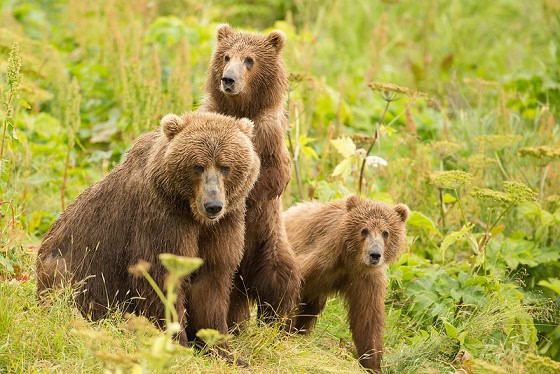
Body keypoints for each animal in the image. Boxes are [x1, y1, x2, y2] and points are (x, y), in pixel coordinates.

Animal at [36, 111, 260, 350]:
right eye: (198, 166)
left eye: (225, 166)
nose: (213, 205)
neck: (191, 213)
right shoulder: (162, 220)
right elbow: (161, 280)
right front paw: (177, 342)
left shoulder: (225, 224)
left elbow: (211, 280)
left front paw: (219, 347)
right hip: (72, 268)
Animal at [198, 24, 300, 328]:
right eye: (226, 56)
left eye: (249, 60)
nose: (228, 79)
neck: (241, 108)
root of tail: (245, 284)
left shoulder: (269, 135)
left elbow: (273, 177)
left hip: (269, 244)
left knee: (281, 281)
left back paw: (276, 323)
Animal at [286, 197, 410, 372]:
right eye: (364, 230)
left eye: (386, 233)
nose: (375, 254)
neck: (351, 260)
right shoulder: (321, 259)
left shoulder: (366, 280)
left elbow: (367, 320)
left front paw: (372, 363)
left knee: (310, 309)